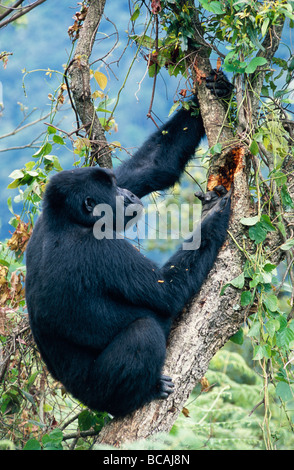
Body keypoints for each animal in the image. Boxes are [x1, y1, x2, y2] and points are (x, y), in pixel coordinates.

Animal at [25, 70, 232, 414]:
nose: (128, 194)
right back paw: (141, 395)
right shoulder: (102, 249)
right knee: (144, 331)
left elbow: (151, 166)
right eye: (112, 191)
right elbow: (167, 291)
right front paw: (213, 218)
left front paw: (216, 89)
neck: (68, 219)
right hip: (99, 393)